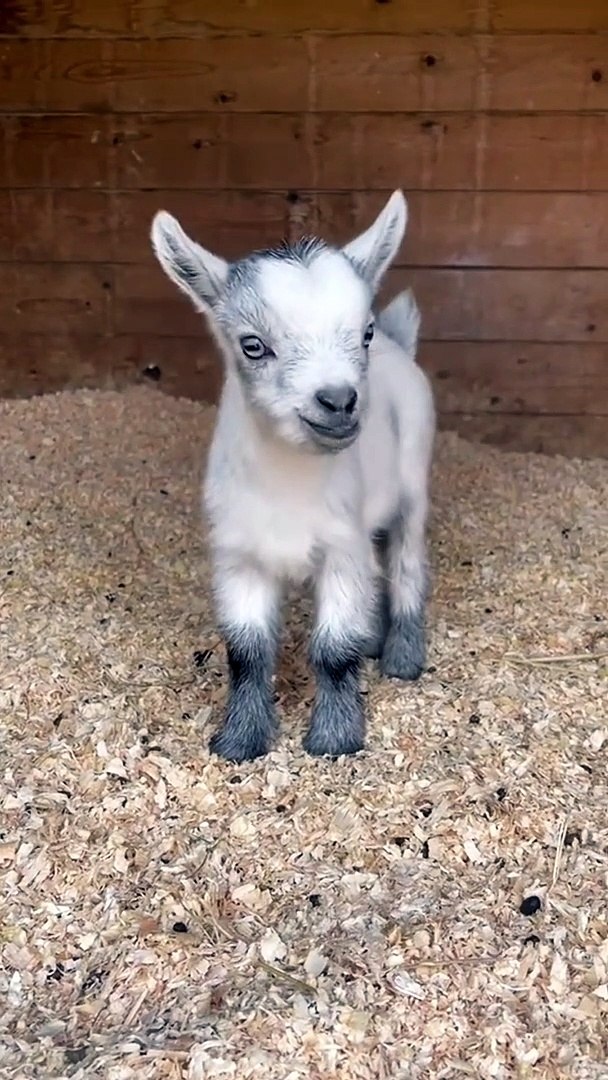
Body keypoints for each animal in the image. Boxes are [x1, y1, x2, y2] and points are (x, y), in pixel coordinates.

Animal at [151, 190, 435, 762]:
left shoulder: (340, 551)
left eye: (363, 333)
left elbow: (333, 650)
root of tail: (400, 345)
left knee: (406, 563)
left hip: (414, 484)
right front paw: (239, 740)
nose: (339, 401)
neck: (288, 487)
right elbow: (247, 652)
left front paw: (334, 738)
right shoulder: (238, 557)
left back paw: (401, 656)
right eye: (252, 345)